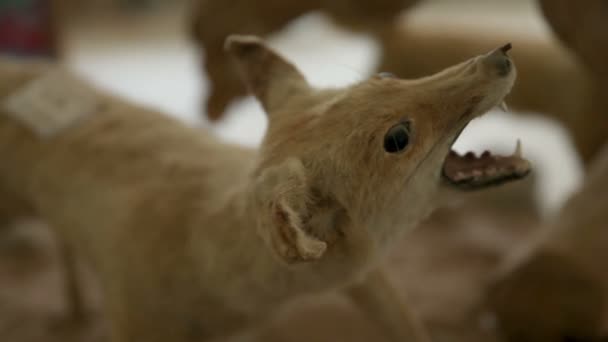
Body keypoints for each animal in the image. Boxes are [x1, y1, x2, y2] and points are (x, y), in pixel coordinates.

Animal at [0, 36, 528, 340]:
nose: (499, 56)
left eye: (387, 76)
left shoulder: (362, 273)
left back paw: (74, 308)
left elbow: (408, 325)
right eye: (397, 138)